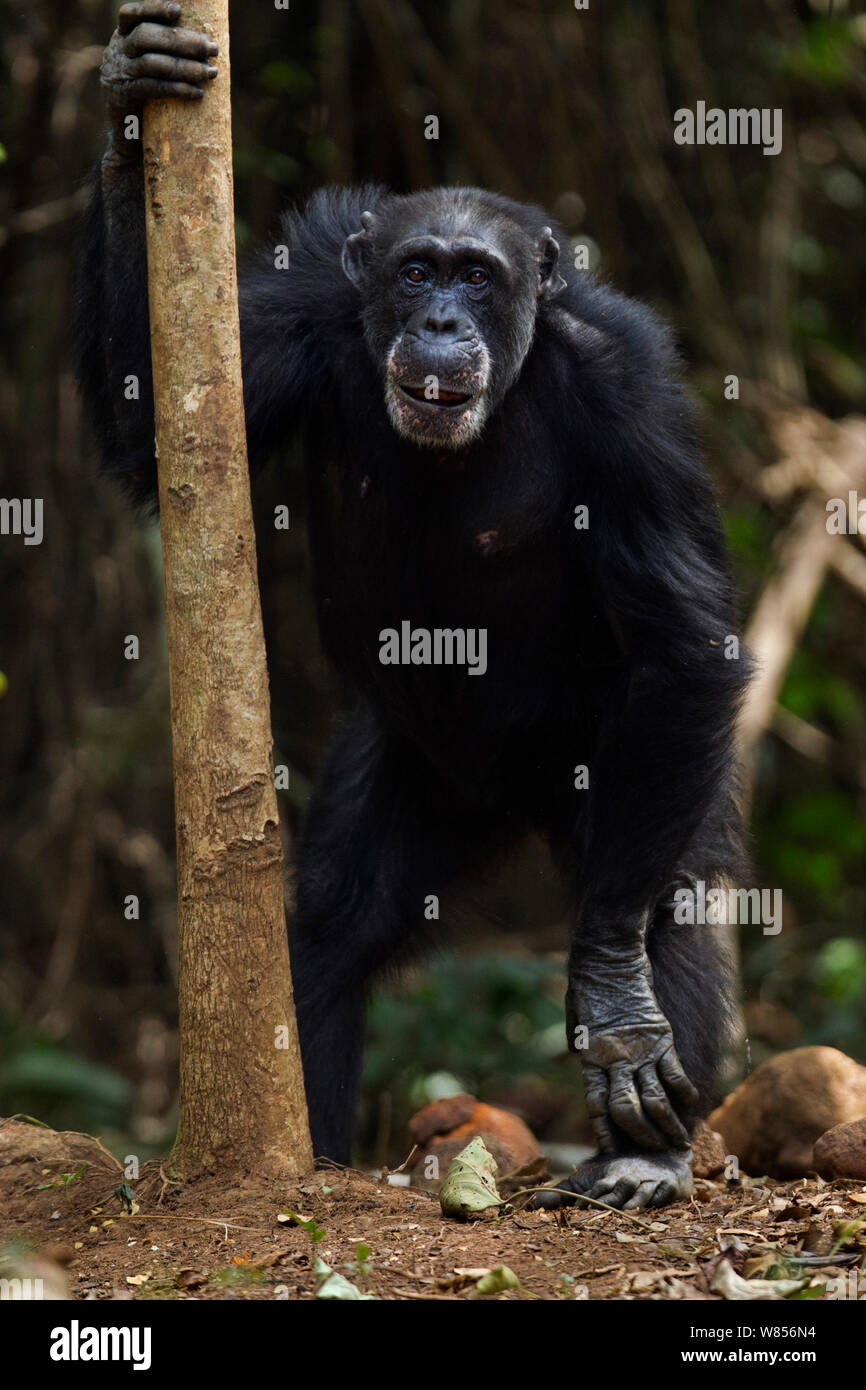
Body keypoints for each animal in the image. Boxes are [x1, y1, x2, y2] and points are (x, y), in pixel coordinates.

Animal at [77, 2, 750, 1206]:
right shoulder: (306, 298)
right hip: (422, 777)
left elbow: (682, 639)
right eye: (416, 269)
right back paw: (307, 1152)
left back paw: (645, 1149)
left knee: (667, 886)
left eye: (477, 277)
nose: (438, 319)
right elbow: (148, 428)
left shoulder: (631, 390)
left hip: (632, 772)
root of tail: (520, 798)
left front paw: (616, 1007)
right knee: (332, 931)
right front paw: (125, 103)